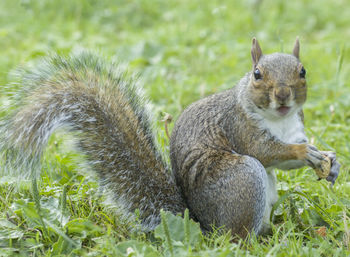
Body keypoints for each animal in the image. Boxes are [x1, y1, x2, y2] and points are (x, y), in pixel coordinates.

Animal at [0, 37, 340, 236]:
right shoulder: (239, 127)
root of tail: (201, 223)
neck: (279, 120)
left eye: (303, 71)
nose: (282, 95)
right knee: (237, 236)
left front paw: (330, 160)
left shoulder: (295, 126)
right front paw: (302, 153)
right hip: (242, 177)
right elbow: (266, 152)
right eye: (257, 74)